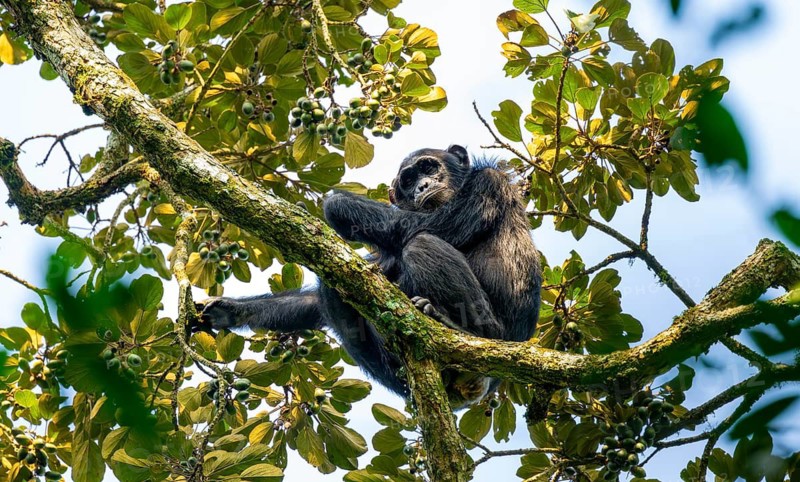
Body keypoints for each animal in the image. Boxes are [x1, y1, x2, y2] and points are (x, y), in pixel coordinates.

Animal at [197, 145, 541, 408]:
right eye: (408, 180)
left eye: (429, 167)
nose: (422, 186)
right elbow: (322, 297)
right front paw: (230, 311)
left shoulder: (487, 185)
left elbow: (426, 226)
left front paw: (336, 202)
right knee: (332, 292)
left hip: (497, 340)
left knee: (422, 243)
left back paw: (460, 326)